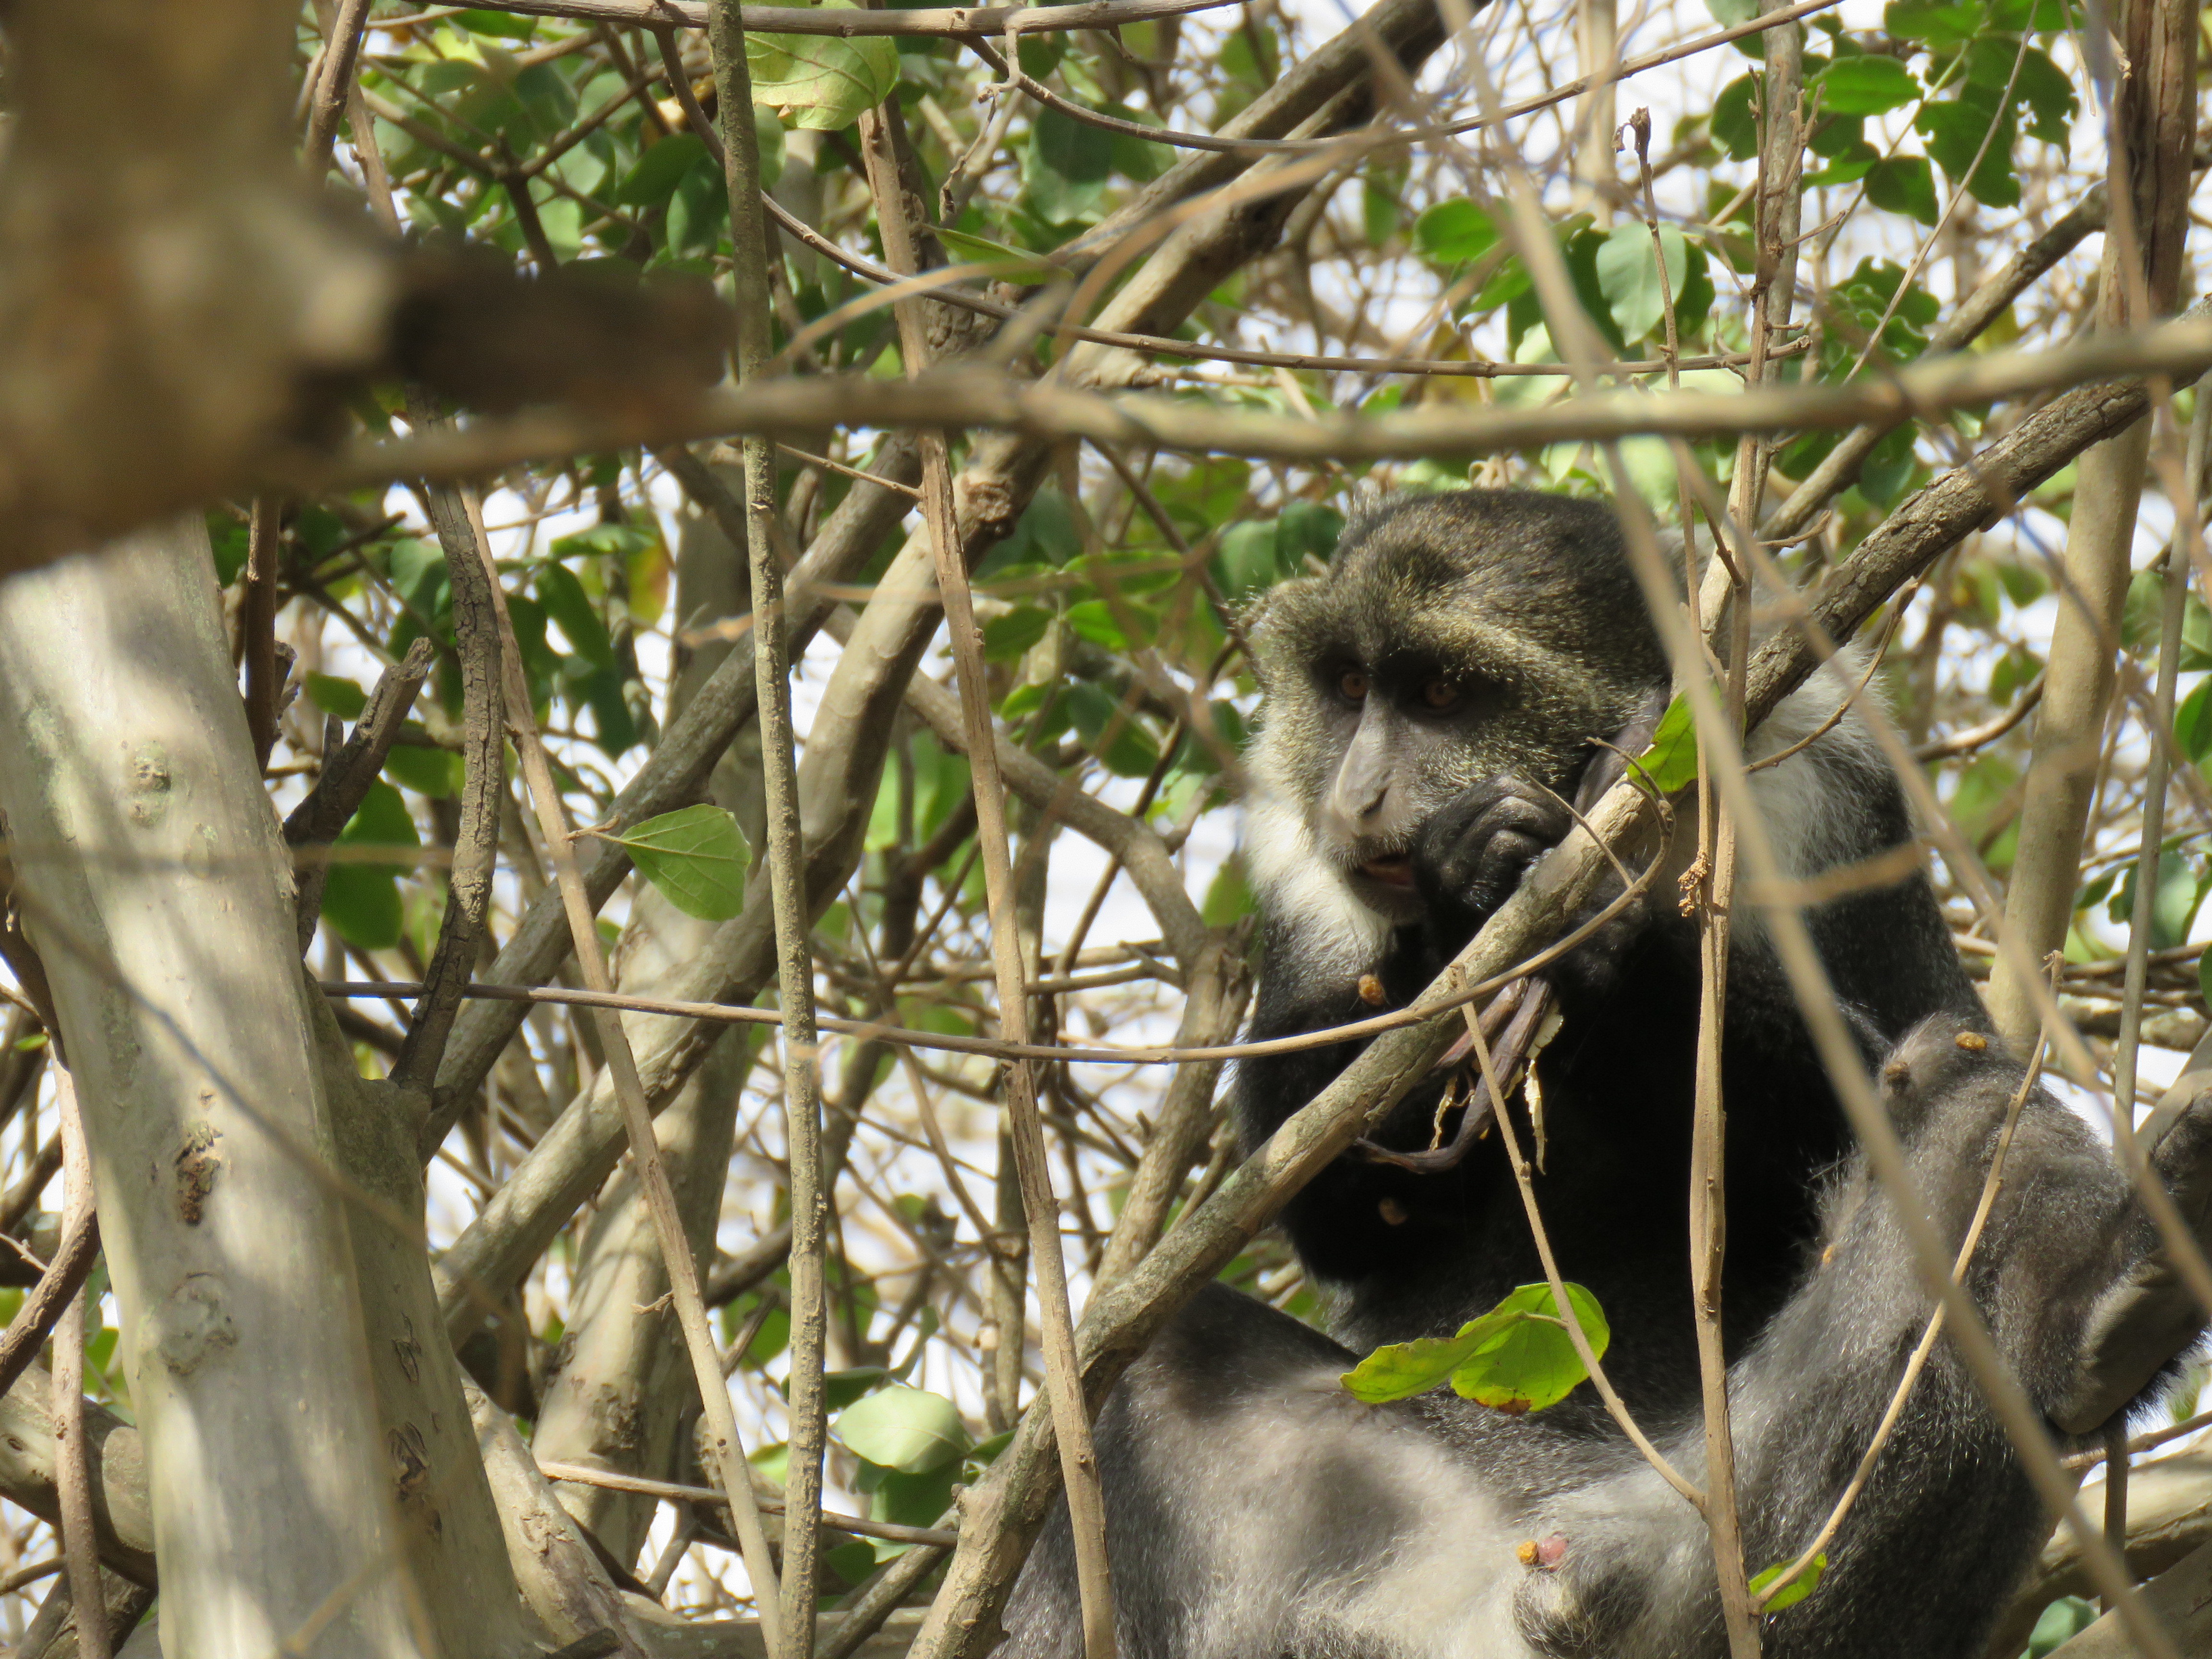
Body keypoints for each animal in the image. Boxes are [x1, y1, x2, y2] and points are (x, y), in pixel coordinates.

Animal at [1004, 493, 2212, 1659]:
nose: (1357, 794)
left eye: (1442, 694)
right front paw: (1468, 889)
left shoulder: (1840, 811)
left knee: (1958, 1091)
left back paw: (2109, 1302)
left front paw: (1605, 934)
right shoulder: (1310, 900)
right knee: (1155, 1360)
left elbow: (1909, 1047)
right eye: (1347, 688)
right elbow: (1335, 1202)